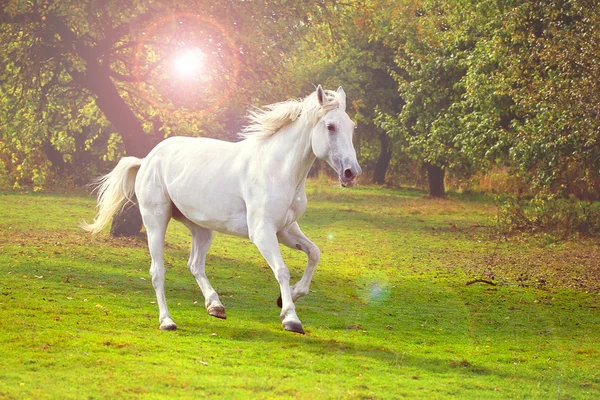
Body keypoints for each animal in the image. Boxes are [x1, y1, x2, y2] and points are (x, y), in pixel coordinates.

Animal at [83, 86, 360, 332]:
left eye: (351, 127)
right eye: (330, 126)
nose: (351, 173)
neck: (277, 168)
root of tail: (147, 159)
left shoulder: (286, 230)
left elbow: (315, 253)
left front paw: (285, 299)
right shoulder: (262, 232)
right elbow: (282, 270)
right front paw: (291, 319)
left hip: (202, 229)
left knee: (195, 264)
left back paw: (215, 306)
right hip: (155, 221)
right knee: (157, 272)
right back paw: (167, 321)